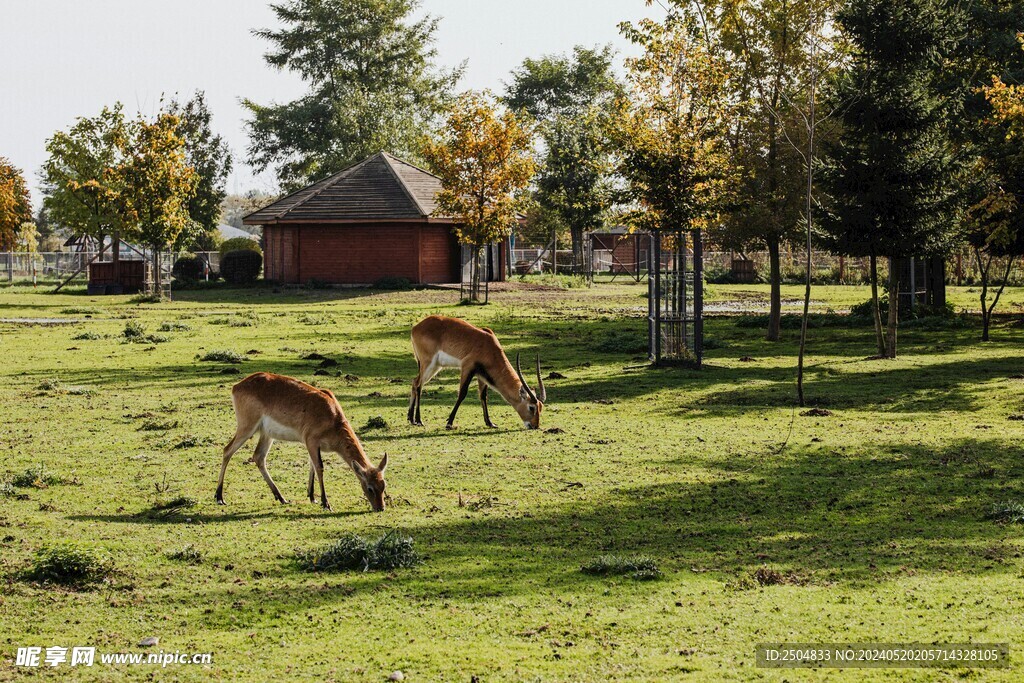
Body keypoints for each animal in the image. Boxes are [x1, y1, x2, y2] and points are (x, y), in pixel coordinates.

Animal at [215, 372, 388, 512]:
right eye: (370, 488)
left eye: (383, 485)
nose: (380, 508)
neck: (332, 418)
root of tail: (237, 385)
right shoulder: (311, 441)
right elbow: (319, 467)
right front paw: (326, 503)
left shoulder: (313, 446)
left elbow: (312, 465)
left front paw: (312, 497)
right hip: (247, 428)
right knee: (227, 450)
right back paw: (219, 497)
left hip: (266, 434)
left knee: (259, 457)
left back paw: (281, 498)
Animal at [407, 315, 546, 430]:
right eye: (531, 407)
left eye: (541, 407)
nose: (535, 426)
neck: (488, 345)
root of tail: (416, 327)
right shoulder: (467, 367)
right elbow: (462, 393)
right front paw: (449, 423)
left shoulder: (481, 375)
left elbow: (483, 396)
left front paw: (490, 423)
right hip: (428, 364)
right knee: (419, 384)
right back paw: (419, 420)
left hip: (435, 366)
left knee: (414, 382)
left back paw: (411, 419)